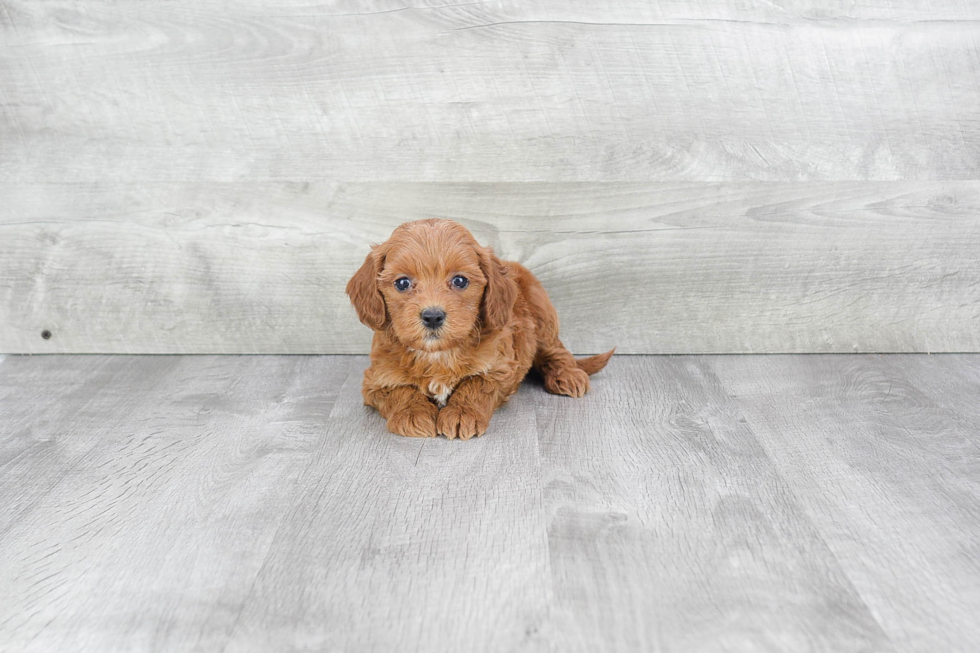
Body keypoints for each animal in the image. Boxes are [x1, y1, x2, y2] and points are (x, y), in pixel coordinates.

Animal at [344, 218, 612, 438]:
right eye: (402, 283)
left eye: (460, 281)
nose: (433, 316)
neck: (438, 355)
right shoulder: (376, 380)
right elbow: (400, 391)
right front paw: (413, 414)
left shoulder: (500, 368)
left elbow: (476, 385)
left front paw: (462, 413)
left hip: (542, 314)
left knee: (556, 350)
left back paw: (567, 375)